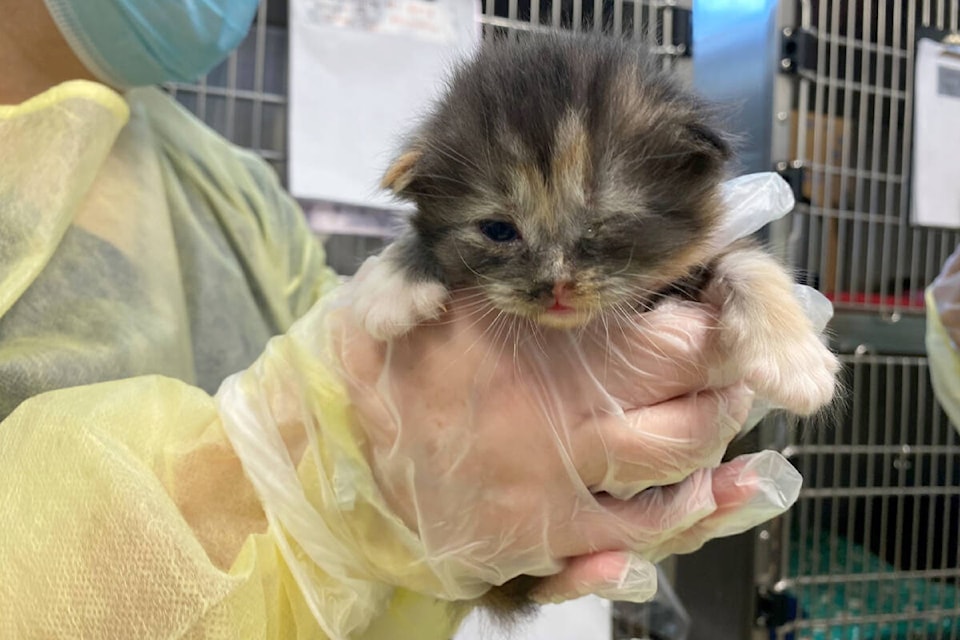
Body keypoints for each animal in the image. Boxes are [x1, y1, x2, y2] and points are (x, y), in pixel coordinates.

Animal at [348, 35, 836, 616]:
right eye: (498, 230)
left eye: (602, 223)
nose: (555, 284)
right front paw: (391, 282)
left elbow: (748, 261)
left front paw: (794, 359)